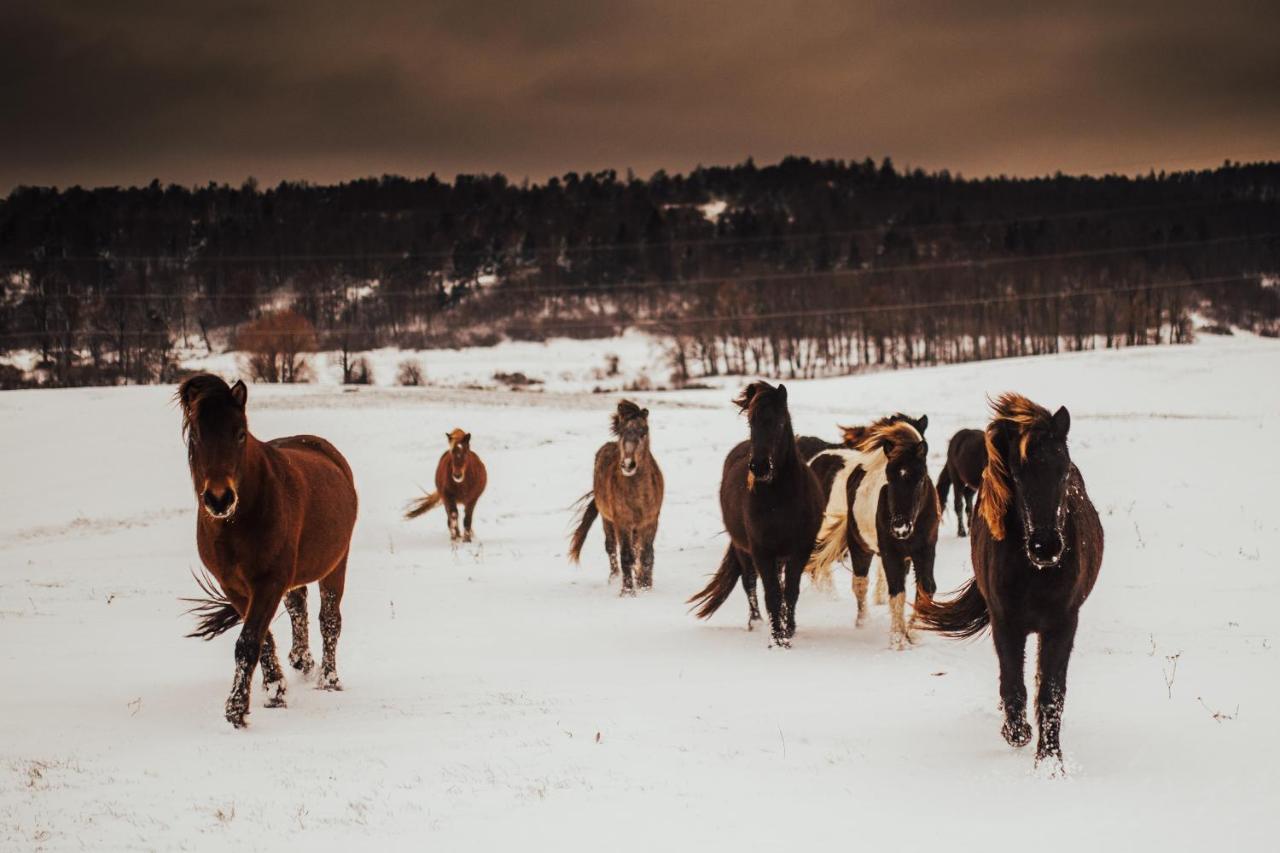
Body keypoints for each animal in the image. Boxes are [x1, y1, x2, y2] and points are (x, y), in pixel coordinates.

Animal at [177, 376, 358, 727]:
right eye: (197, 436)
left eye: (240, 433)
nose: (219, 499)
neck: (238, 520)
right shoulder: (234, 586)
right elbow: (261, 638)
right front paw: (275, 689)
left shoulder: (269, 582)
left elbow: (249, 641)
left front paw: (237, 708)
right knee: (298, 606)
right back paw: (301, 660)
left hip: (336, 564)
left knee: (329, 619)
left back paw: (329, 679)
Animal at [570, 399, 670, 591]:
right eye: (623, 432)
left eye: (644, 432)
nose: (628, 464)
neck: (638, 495)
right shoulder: (622, 522)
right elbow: (626, 555)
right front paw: (628, 591)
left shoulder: (650, 521)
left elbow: (646, 555)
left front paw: (645, 586)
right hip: (607, 520)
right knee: (611, 548)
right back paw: (614, 578)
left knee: (637, 549)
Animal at [691, 379, 819, 645]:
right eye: (751, 423)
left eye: (779, 422)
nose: (759, 467)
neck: (781, 500)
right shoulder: (761, 551)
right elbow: (771, 593)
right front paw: (778, 637)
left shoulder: (800, 550)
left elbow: (790, 591)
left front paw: (788, 629)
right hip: (744, 550)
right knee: (749, 582)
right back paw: (756, 622)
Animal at [798, 412, 942, 645]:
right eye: (889, 478)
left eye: (921, 478)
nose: (900, 528)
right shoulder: (891, 552)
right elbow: (896, 591)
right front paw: (898, 639)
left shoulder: (924, 550)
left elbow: (925, 588)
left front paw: (914, 632)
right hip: (857, 547)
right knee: (857, 582)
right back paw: (860, 619)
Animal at [916, 391, 1105, 768]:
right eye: (1017, 476)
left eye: (1064, 472)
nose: (1046, 547)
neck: (1035, 574)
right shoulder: (1006, 623)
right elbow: (1013, 684)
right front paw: (1017, 733)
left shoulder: (1062, 624)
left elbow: (1051, 692)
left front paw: (1050, 758)